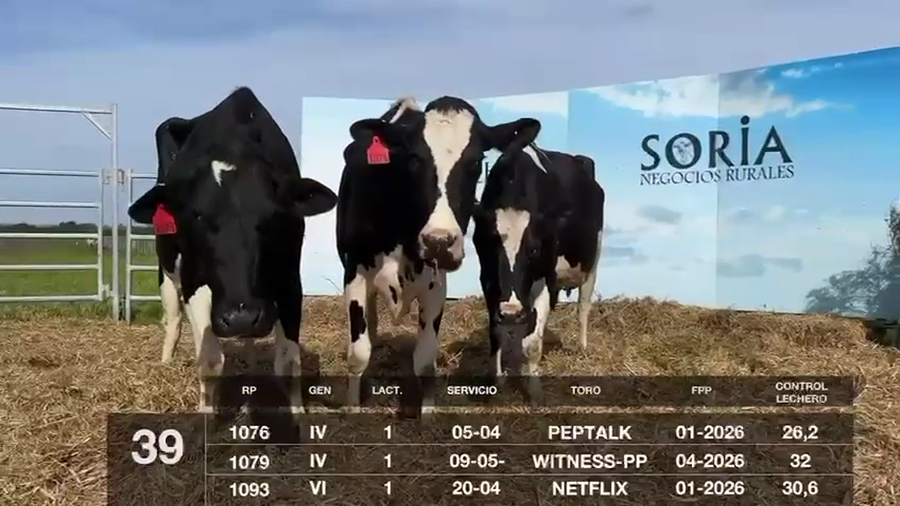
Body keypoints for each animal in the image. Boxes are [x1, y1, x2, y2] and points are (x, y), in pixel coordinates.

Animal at [126, 87, 338, 414]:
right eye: (196, 215)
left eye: (274, 215)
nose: (241, 316)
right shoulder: (194, 280)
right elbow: (210, 360)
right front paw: (205, 414)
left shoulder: (289, 279)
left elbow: (288, 363)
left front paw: (298, 413)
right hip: (167, 272)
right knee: (173, 320)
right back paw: (166, 363)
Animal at [336, 96, 542, 415]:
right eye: (414, 159)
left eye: (475, 162)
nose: (438, 241)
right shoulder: (354, 271)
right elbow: (358, 352)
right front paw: (352, 408)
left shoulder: (436, 283)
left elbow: (425, 359)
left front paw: (428, 414)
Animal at [472, 143, 604, 401]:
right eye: (489, 246)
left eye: (534, 249)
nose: (511, 312)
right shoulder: (489, 280)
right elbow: (496, 333)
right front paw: (496, 382)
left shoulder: (544, 279)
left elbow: (532, 344)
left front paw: (534, 392)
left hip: (593, 260)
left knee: (583, 307)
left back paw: (582, 347)